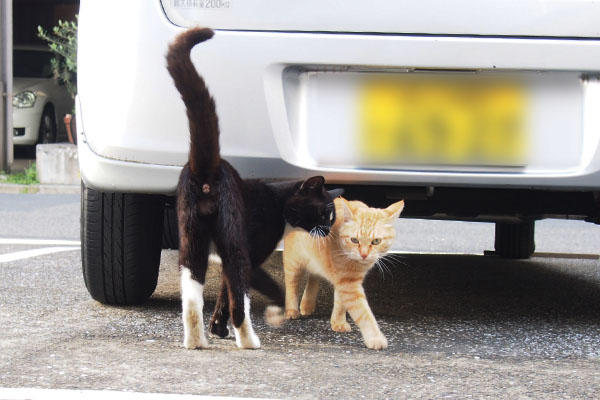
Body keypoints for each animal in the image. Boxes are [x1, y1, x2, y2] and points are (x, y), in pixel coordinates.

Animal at [166, 28, 340, 348]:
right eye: (324, 214)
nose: (328, 229)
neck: (278, 202)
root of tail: (207, 168)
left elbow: (222, 294)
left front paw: (217, 329)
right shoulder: (254, 250)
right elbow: (242, 291)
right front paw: (277, 311)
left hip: (191, 236)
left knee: (192, 295)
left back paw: (196, 340)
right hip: (233, 238)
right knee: (238, 292)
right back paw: (248, 340)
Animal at [282, 198, 404, 350]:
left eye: (376, 241)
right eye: (354, 240)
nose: (364, 254)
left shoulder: (344, 281)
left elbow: (340, 303)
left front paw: (338, 322)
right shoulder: (348, 284)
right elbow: (364, 313)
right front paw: (375, 337)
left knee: (314, 276)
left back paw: (307, 304)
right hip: (294, 261)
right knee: (292, 284)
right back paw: (292, 310)